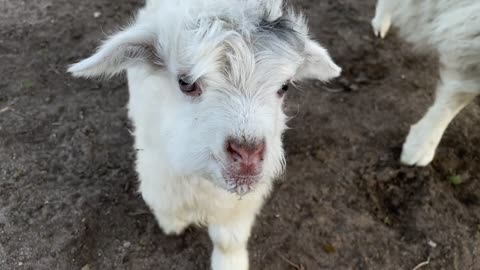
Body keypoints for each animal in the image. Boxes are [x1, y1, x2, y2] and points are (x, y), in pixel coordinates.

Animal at [67, 1, 342, 268]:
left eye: (284, 86)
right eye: (185, 83)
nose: (247, 154)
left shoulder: (239, 203)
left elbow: (228, 239)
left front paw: (230, 263)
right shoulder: (157, 171)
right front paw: (173, 225)